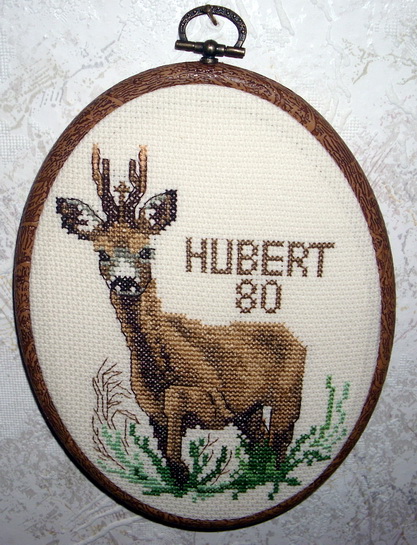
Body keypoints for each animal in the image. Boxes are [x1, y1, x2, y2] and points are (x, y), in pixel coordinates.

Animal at [56, 144, 307, 486]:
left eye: (146, 250)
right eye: (102, 254)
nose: (125, 281)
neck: (159, 368)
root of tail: (299, 340)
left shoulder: (216, 402)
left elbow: (176, 399)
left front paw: (183, 468)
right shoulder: (153, 412)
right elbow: (165, 441)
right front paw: (178, 471)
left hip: (288, 395)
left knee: (279, 442)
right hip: (251, 410)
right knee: (263, 443)